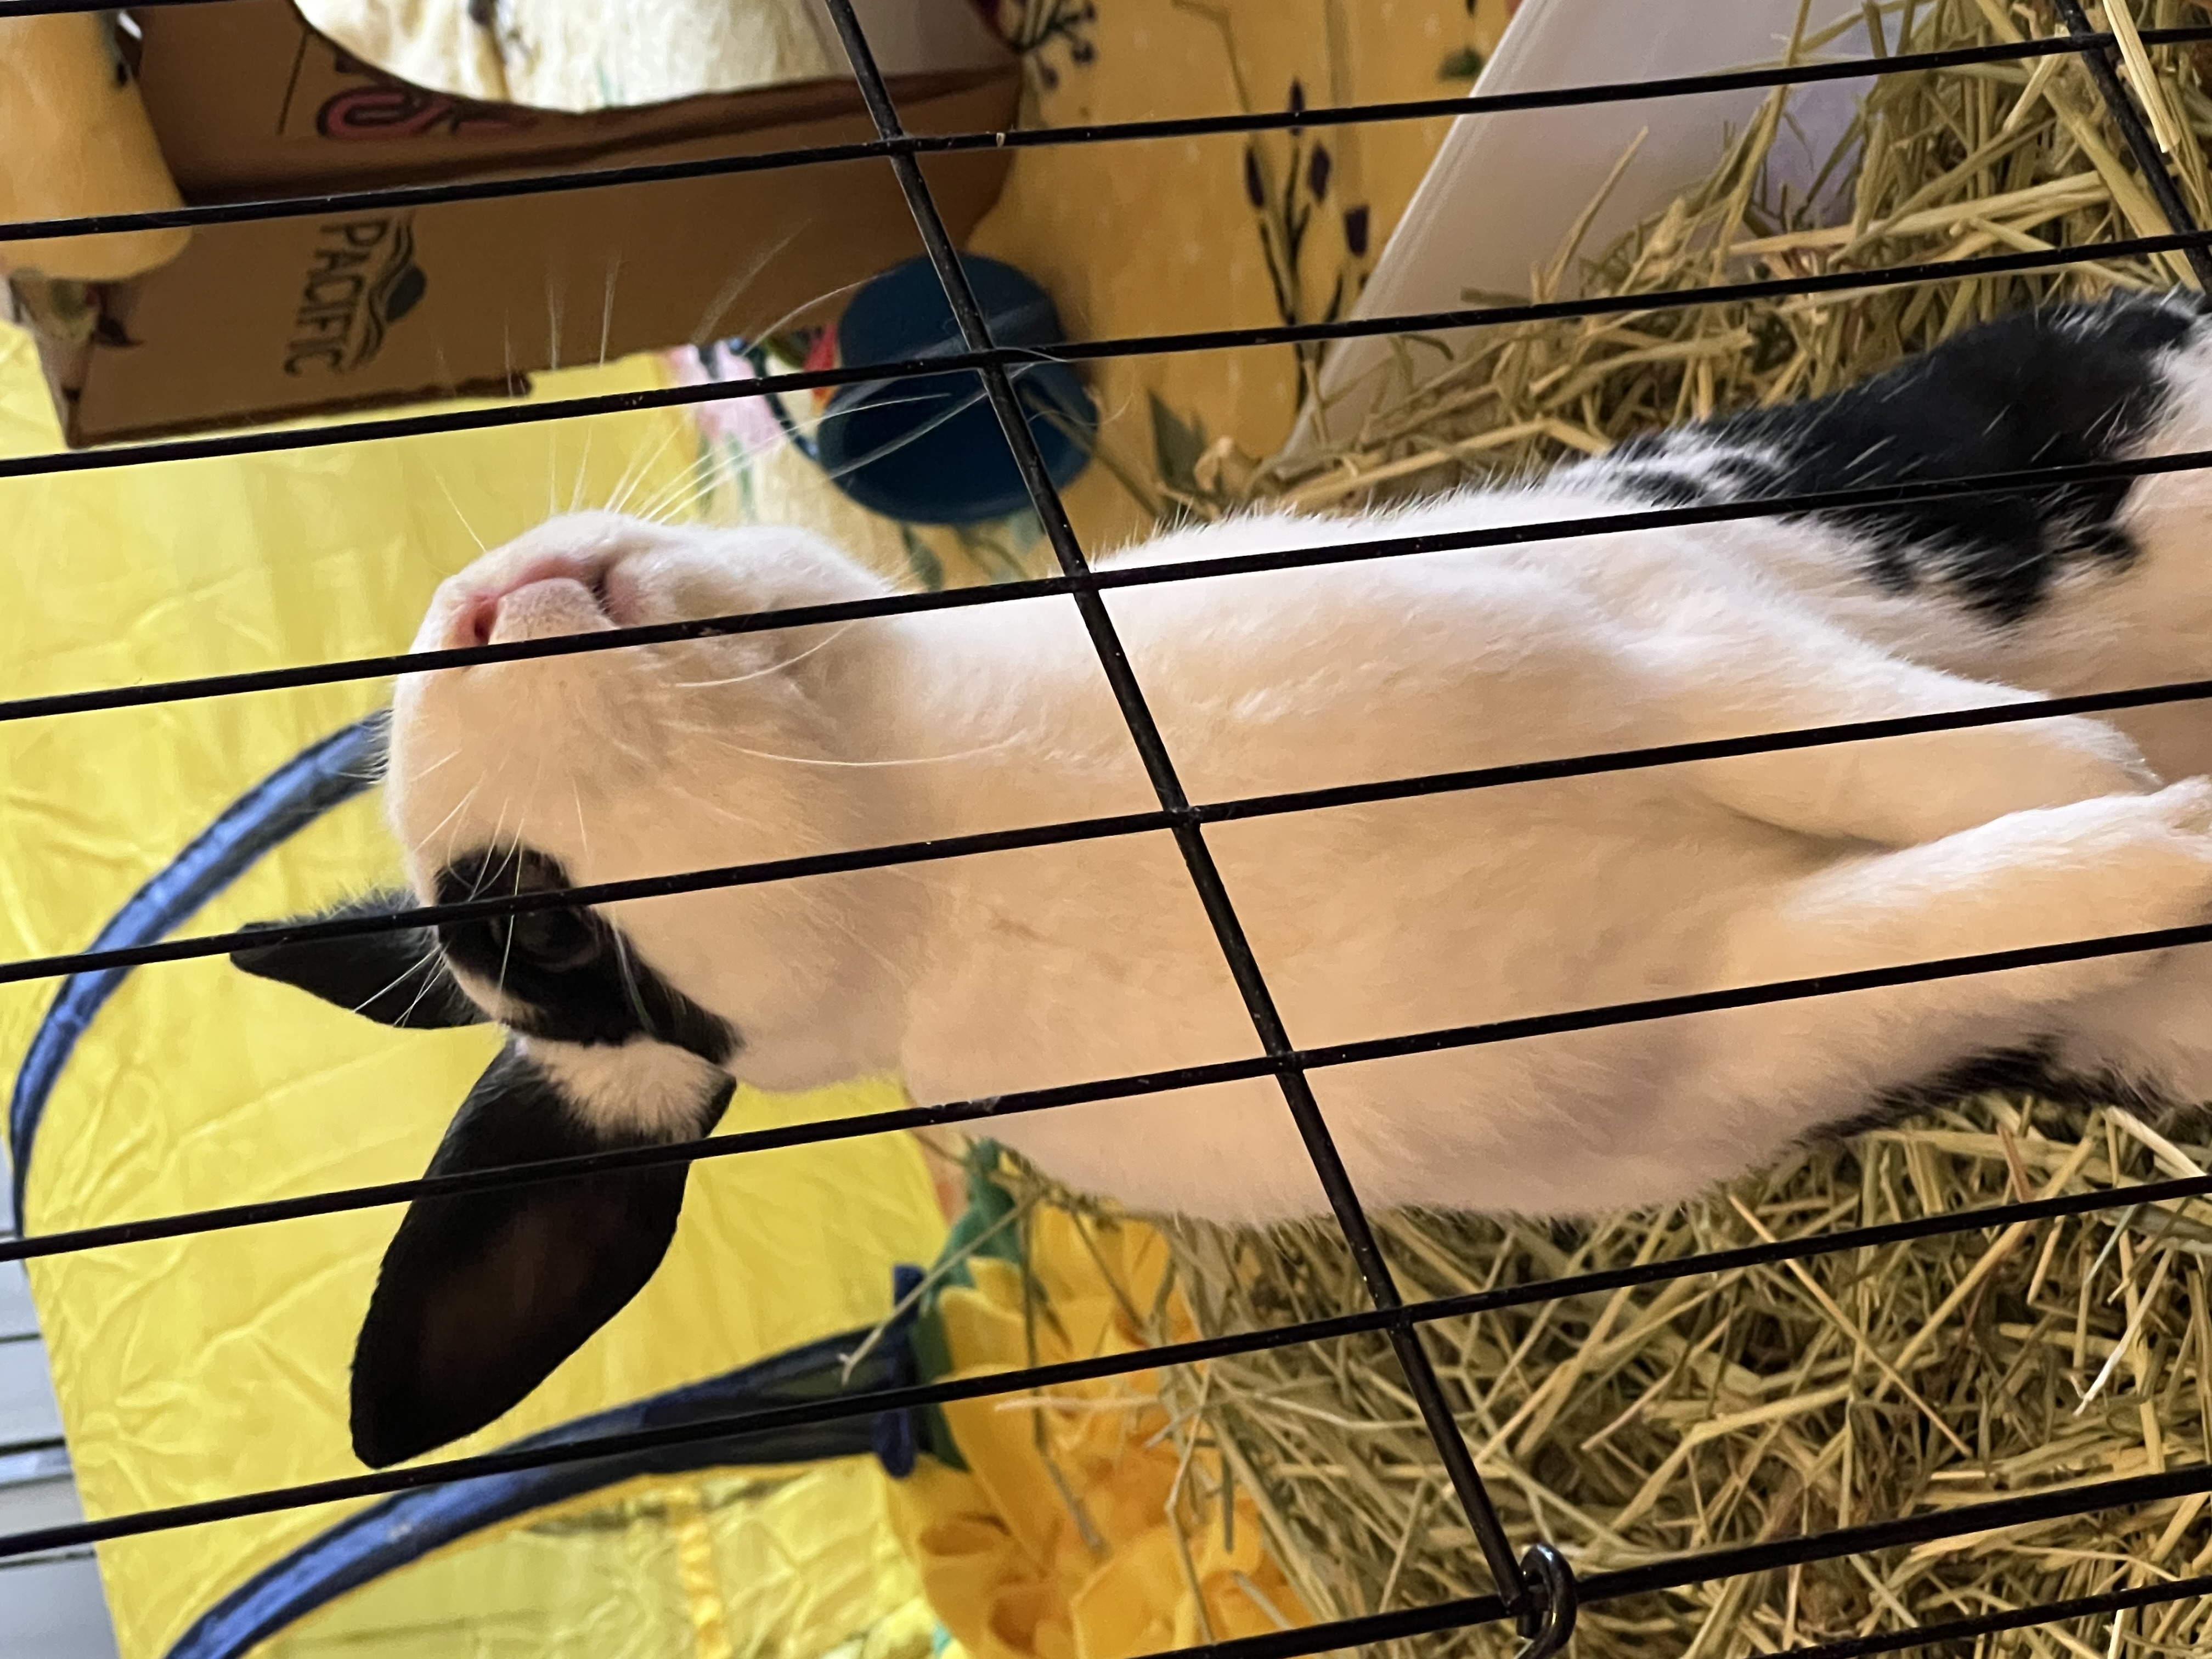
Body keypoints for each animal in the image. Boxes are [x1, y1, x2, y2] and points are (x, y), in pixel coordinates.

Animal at [237, 288, 2212, 1468]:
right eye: (533, 931)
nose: (481, 606)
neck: (956, 824)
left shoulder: (1646, 638)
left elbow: (1905, 748)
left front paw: (2123, 783)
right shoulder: (1710, 1025)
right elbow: (1957, 906)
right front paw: (2163, 834)